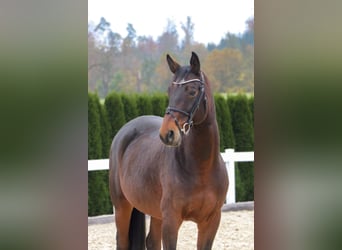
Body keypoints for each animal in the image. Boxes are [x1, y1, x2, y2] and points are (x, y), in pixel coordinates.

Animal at [108, 51, 228, 249]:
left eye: (192, 91)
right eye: (169, 91)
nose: (167, 134)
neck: (201, 168)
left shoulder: (211, 221)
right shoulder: (171, 221)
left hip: (155, 212)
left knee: (151, 241)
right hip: (122, 207)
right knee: (122, 241)